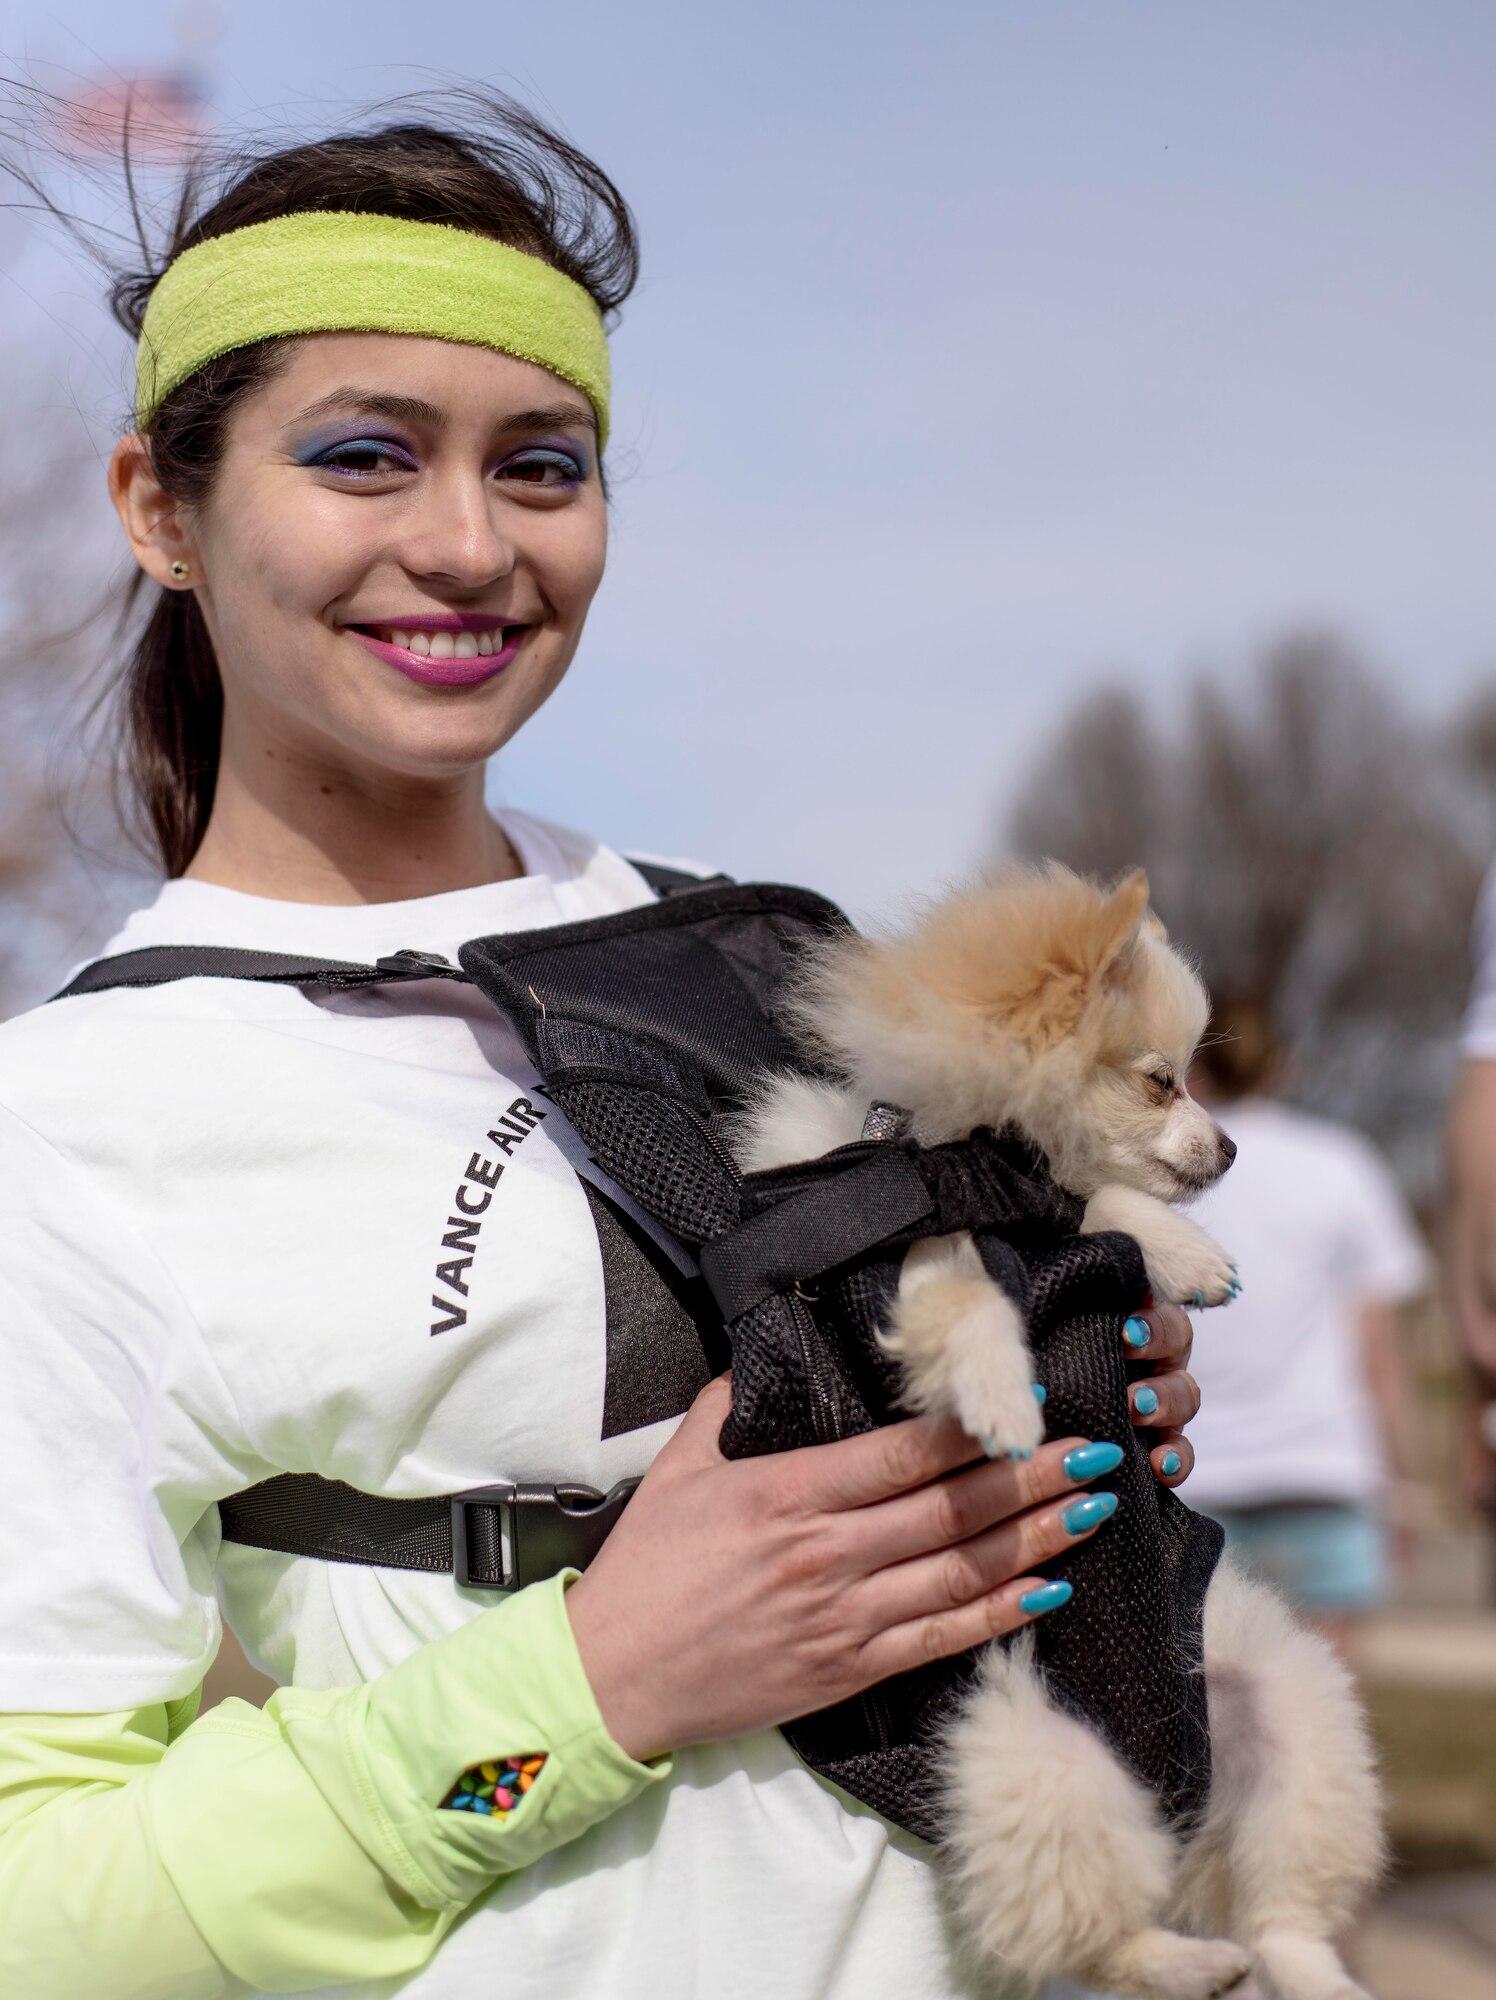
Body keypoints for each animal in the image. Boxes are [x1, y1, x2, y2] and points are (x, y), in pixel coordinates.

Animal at [732, 868, 1376, 2000]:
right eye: (1162, 1083)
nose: (1233, 1144)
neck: (975, 1162)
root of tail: (1182, 1801)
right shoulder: (895, 1259)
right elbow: (953, 1291)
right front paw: (999, 1394)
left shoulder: (1050, 1201)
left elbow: (1093, 1198)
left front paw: (1181, 1252)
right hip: (1035, 1759)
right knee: (1091, 1929)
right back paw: (1178, 1956)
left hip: (1291, 1713)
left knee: (1280, 1909)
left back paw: (1303, 1969)